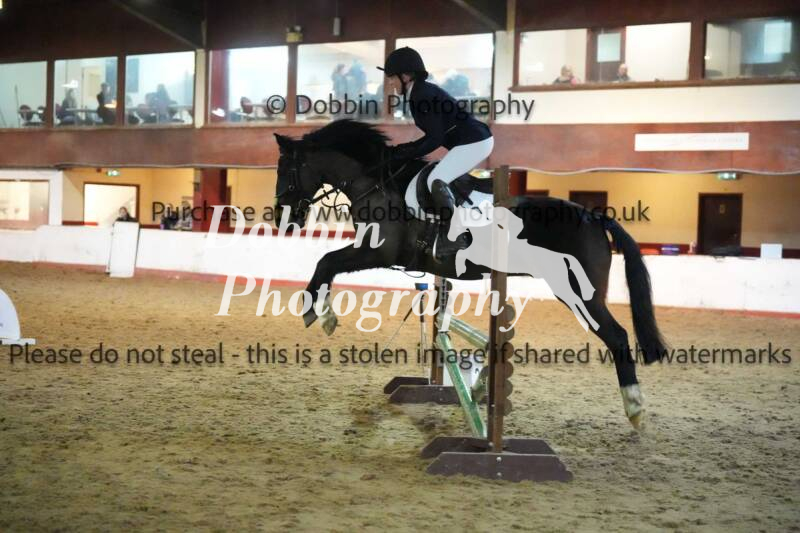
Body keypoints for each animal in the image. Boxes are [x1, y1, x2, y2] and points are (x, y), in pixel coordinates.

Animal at [273, 119, 667, 427]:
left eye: (284, 171)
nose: (281, 216)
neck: (377, 183)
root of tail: (595, 217)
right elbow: (328, 263)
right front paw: (322, 313)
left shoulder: (376, 250)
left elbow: (327, 262)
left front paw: (317, 314)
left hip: (578, 292)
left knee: (616, 335)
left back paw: (635, 407)